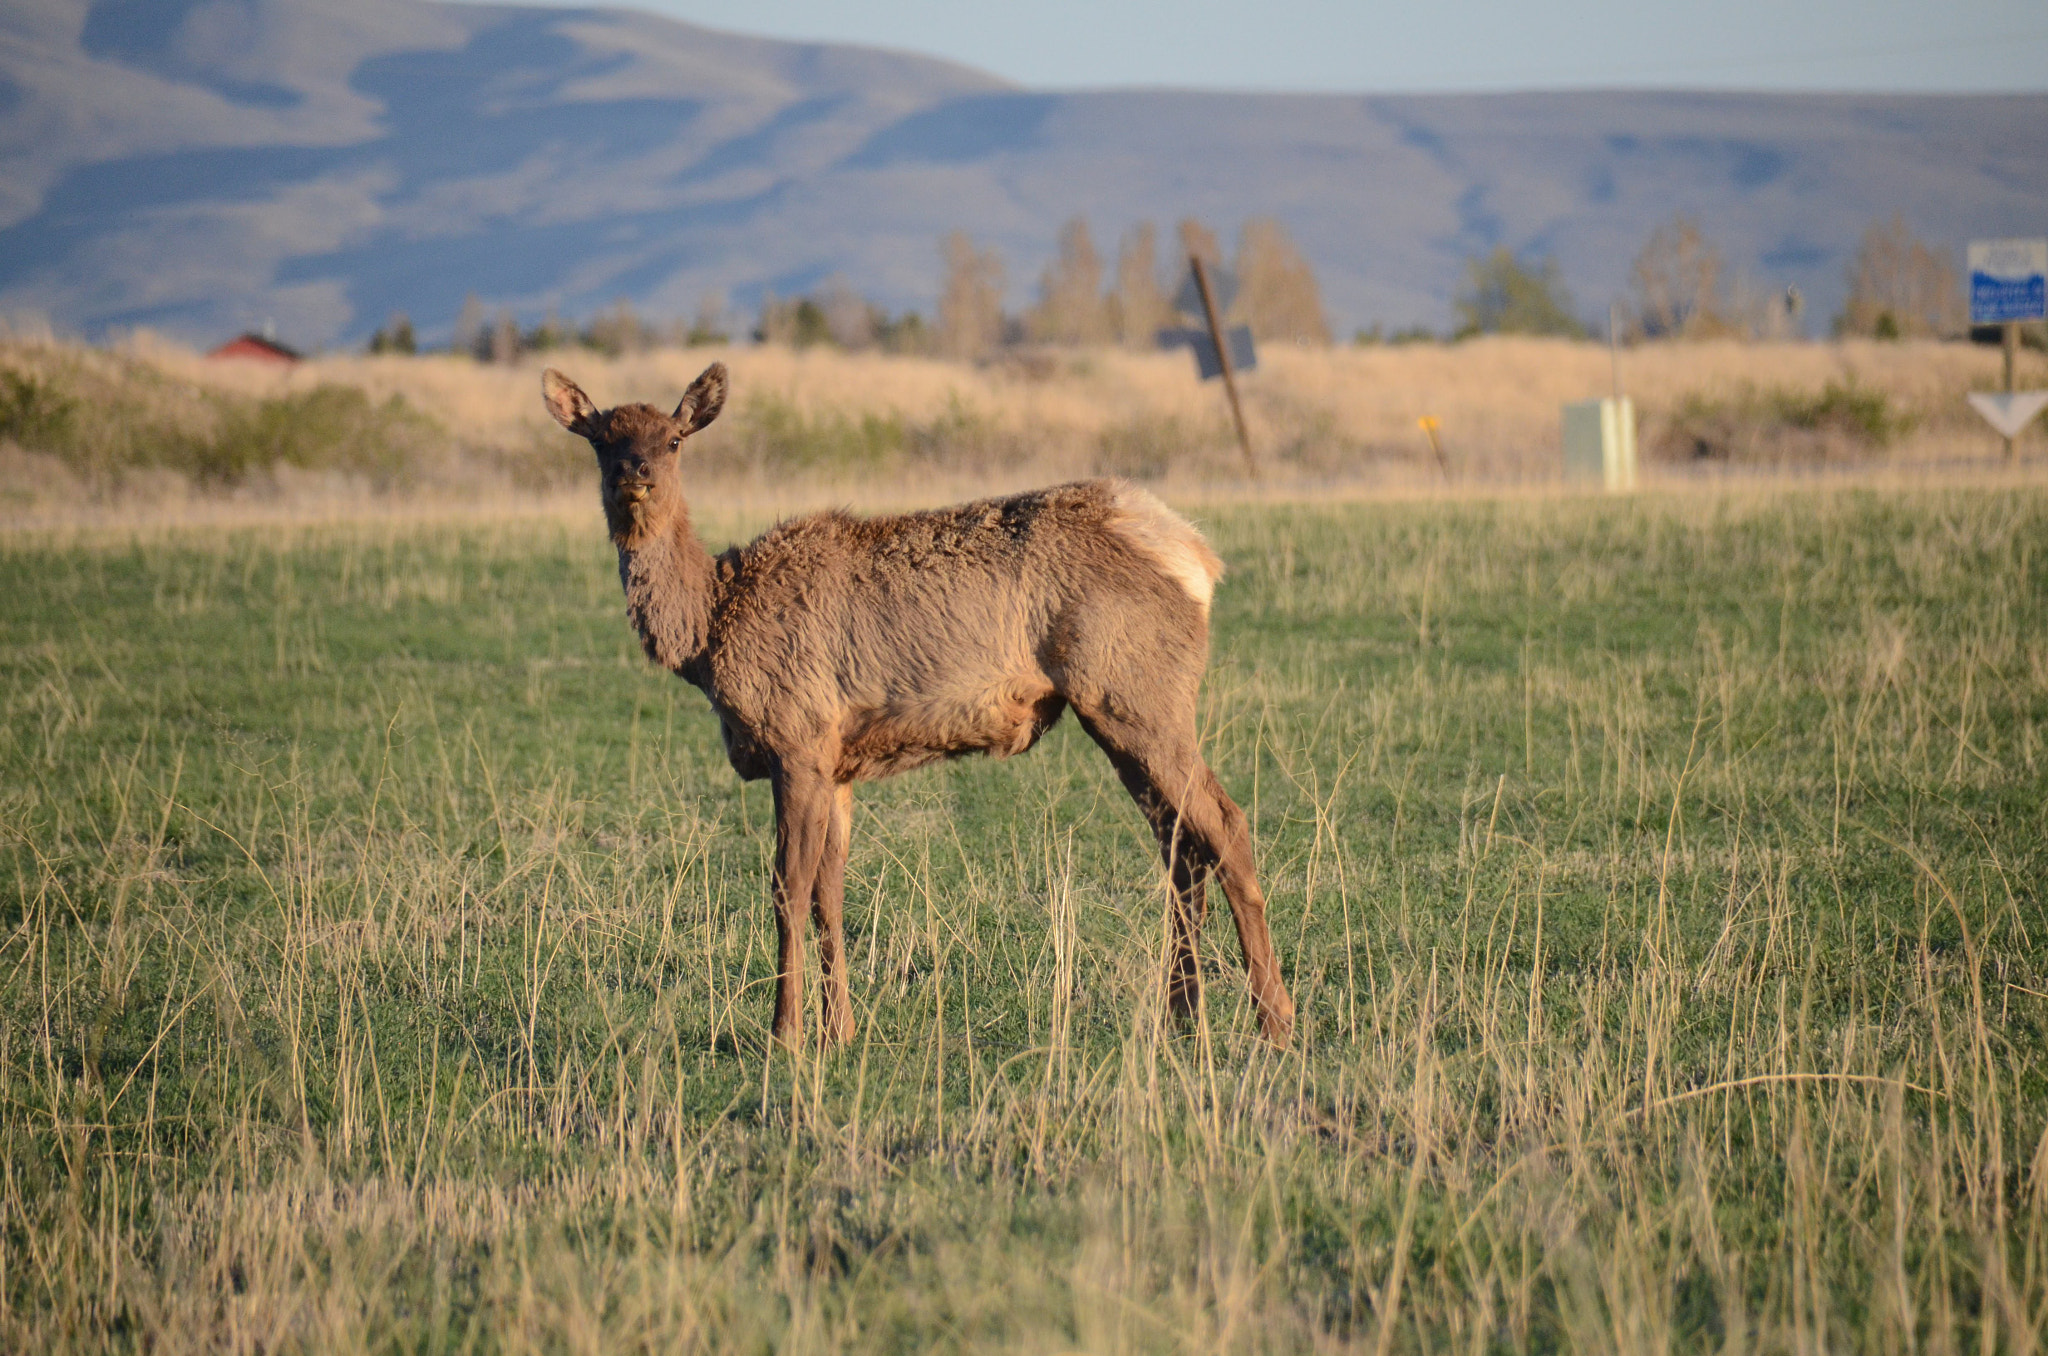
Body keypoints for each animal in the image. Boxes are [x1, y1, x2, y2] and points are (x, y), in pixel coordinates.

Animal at [544, 364, 1294, 1048]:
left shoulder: (798, 740)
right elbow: (830, 892)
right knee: (1180, 845)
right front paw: (841, 1029)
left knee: (1226, 824)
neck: (707, 632)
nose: (635, 475)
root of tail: (1197, 556)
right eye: (602, 440)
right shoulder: (838, 764)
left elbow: (788, 888)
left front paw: (787, 1035)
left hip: (1138, 694)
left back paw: (1274, 1022)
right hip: (1119, 712)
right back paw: (1181, 1018)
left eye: (673, 439)